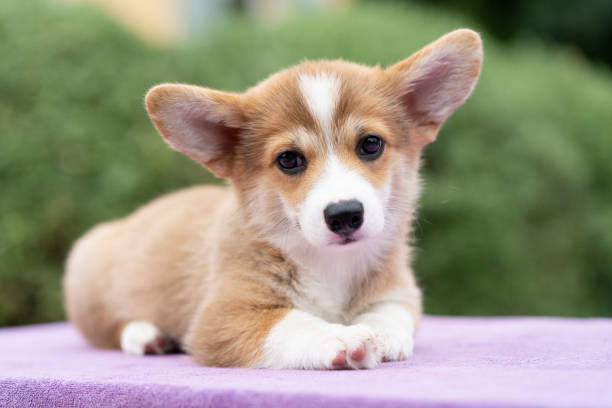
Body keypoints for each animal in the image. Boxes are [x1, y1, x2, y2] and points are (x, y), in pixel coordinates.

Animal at [63, 29, 482, 370]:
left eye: (371, 144)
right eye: (289, 160)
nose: (345, 215)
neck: (329, 263)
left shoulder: (399, 290)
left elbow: (390, 311)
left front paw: (383, 335)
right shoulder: (224, 315)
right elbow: (292, 322)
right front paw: (342, 337)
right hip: (89, 282)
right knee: (110, 327)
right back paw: (145, 335)